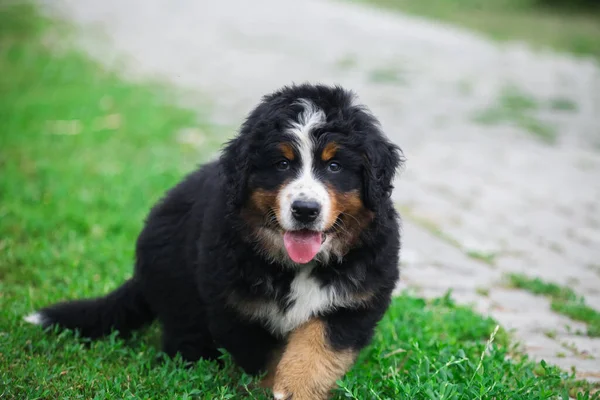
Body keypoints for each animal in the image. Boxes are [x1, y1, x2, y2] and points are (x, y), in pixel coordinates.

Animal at [27, 83, 404, 398]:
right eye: (282, 164)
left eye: (335, 166)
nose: (305, 210)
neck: (299, 267)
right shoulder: (236, 307)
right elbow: (263, 356)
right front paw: (268, 387)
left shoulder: (353, 302)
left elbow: (318, 351)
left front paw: (295, 389)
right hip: (177, 287)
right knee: (183, 333)